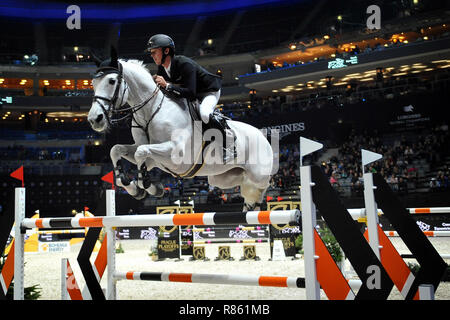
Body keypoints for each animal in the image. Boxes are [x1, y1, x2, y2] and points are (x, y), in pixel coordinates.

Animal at [86, 48, 276, 210]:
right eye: (93, 83)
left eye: (111, 81)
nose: (95, 119)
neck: (151, 110)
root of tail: (262, 135)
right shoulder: (154, 158)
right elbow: (117, 149)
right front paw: (133, 186)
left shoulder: (175, 153)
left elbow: (141, 152)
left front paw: (146, 185)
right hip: (222, 177)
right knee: (246, 187)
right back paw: (250, 205)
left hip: (257, 174)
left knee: (263, 185)